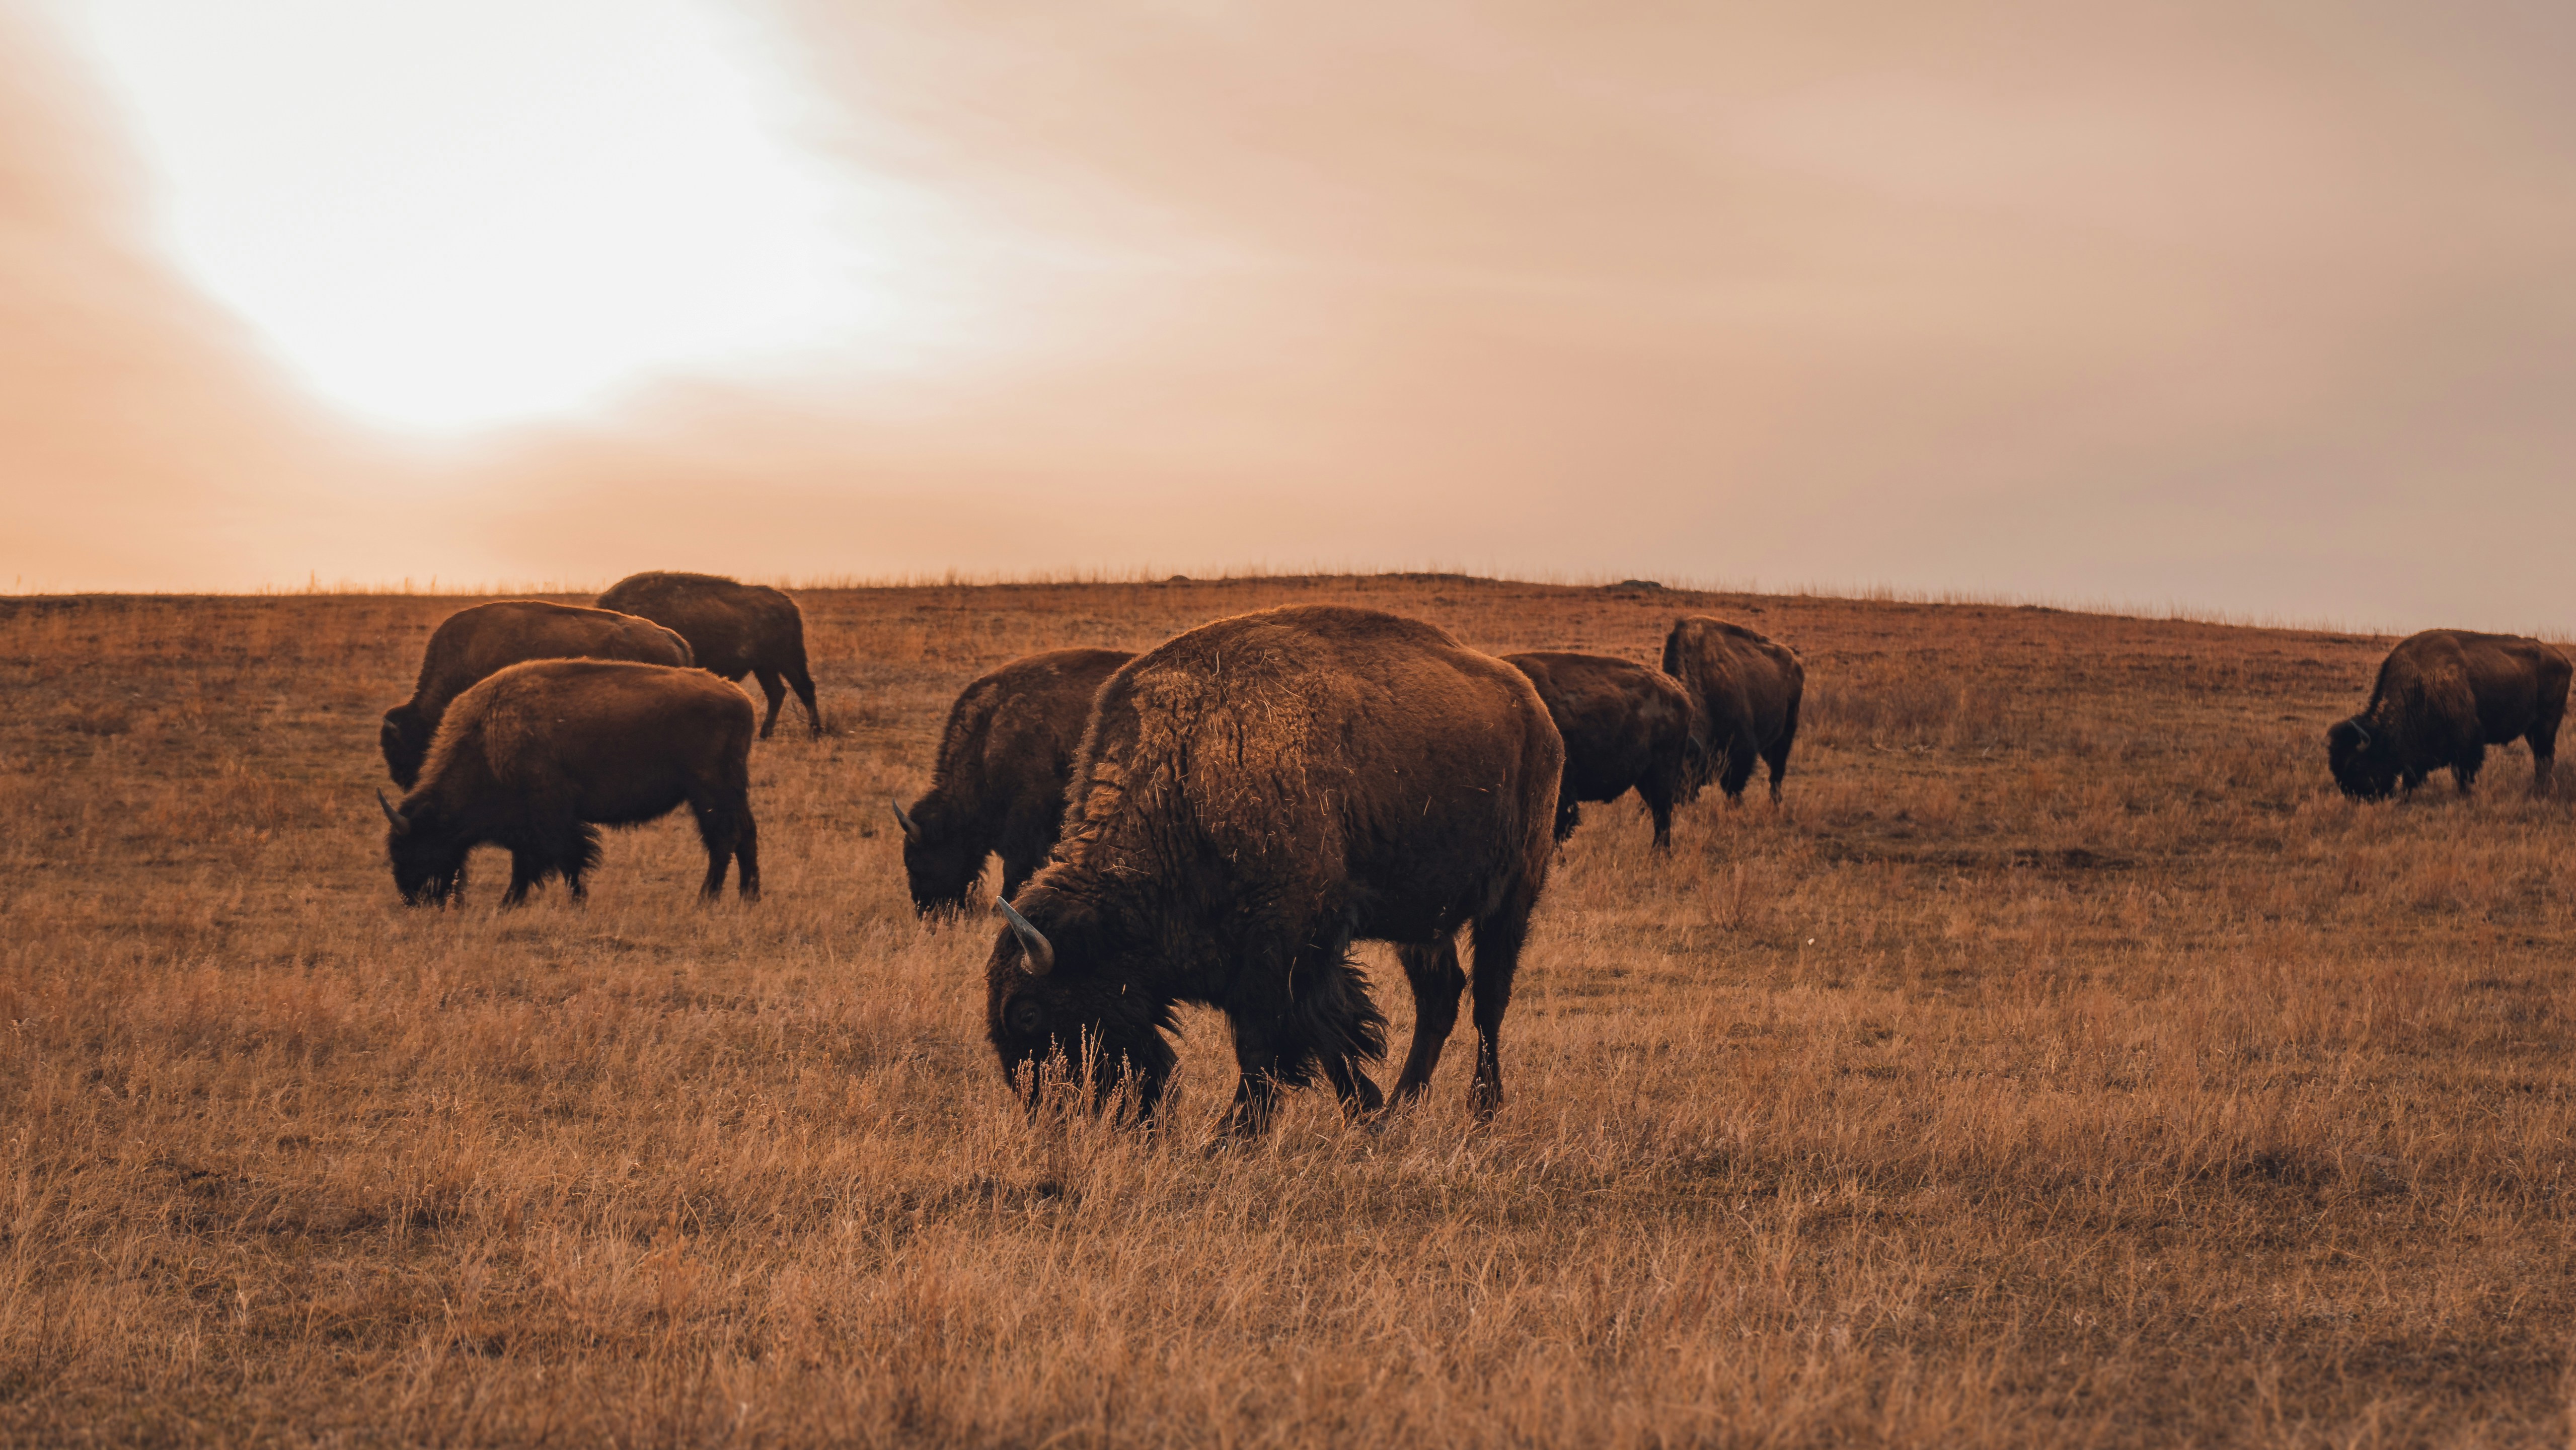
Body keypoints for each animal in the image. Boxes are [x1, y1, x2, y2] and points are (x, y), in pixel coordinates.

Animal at [377, 660, 759, 906]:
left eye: (416, 846)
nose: (413, 899)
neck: (488, 737)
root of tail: (741, 699)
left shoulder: (549, 815)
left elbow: (563, 857)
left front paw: (566, 901)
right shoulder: (529, 825)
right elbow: (533, 862)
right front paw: (514, 902)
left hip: (709, 791)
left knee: (724, 839)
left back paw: (706, 899)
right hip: (730, 791)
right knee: (746, 834)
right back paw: (748, 897)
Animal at [595, 572, 822, 738]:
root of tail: (787, 603)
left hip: (789, 659)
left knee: (805, 688)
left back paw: (815, 732)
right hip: (764, 667)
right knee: (777, 692)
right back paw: (765, 734)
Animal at [984, 605, 1562, 1131]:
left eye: (1029, 1014)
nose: (1050, 1113)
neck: (1189, 769)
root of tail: (1535, 710)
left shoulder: (1284, 942)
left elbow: (1268, 1040)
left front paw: (1231, 1134)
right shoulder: (1298, 955)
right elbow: (1328, 1033)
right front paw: (1365, 1114)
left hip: (1513, 894)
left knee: (1489, 998)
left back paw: (1483, 1110)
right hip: (1422, 919)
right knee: (1439, 997)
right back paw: (1403, 1107)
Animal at [1662, 615, 1804, 803]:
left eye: (1681, 767)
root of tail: (1795, 662)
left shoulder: (1740, 754)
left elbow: (1733, 790)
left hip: (1785, 736)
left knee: (1777, 773)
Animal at [2328, 630, 2570, 799]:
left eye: (2356, 764)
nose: (2353, 794)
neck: (2420, 681)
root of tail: (2563, 660)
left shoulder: (2468, 741)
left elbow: (2463, 772)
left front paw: (2464, 795)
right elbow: (2413, 774)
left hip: (2546, 725)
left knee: (2544, 757)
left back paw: (2539, 790)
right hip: (2532, 730)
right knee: (2541, 757)